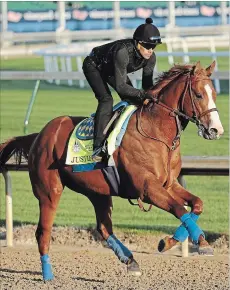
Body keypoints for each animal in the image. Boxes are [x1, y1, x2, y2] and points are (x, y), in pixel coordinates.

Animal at [0, 60, 223, 280]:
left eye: (214, 93)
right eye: (199, 94)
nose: (216, 130)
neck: (156, 132)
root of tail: (39, 135)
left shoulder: (169, 184)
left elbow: (197, 205)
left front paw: (180, 241)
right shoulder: (147, 188)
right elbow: (178, 208)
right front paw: (194, 242)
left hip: (97, 192)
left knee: (104, 228)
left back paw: (131, 261)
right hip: (49, 191)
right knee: (43, 231)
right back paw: (48, 275)